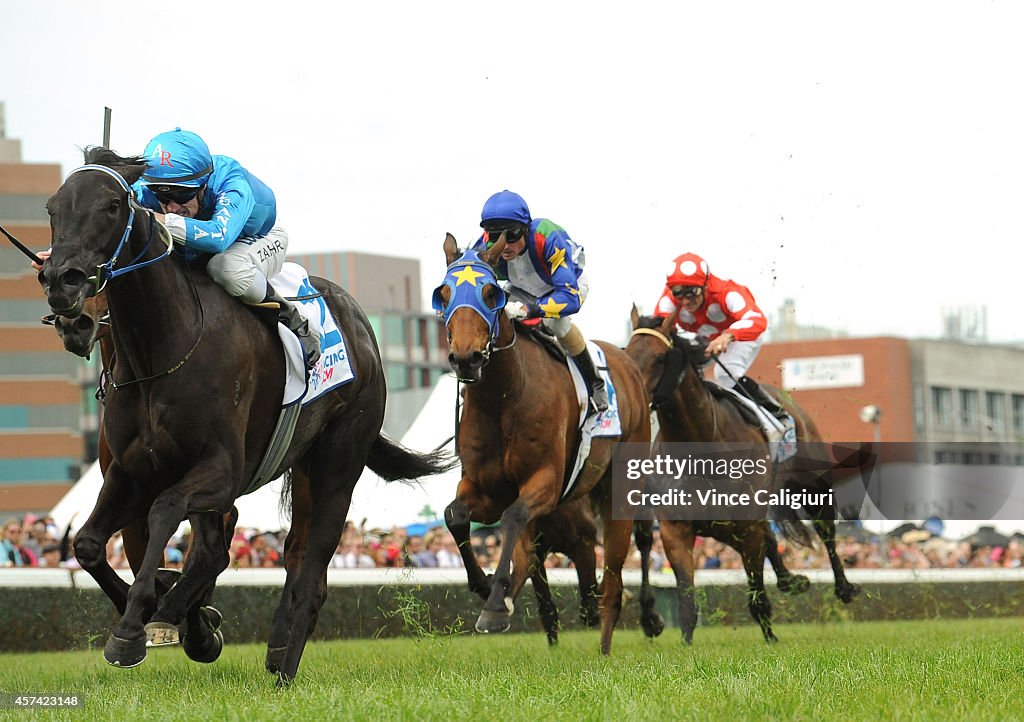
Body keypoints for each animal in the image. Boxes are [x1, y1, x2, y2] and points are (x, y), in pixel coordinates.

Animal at [39, 147, 454, 680]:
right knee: (277, 553)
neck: (160, 353)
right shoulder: (129, 472)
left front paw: (140, 627)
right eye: (53, 207)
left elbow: (166, 513)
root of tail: (361, 324)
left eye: (112, 205)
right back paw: (256, 644)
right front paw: (173, 615)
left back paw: (281, 664)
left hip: (339, 460)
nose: (61, 283)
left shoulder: (221, 471)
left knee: (310, 569)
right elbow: (90, 544)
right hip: (302, 467)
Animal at [436, 233, 651, 651]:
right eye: (443, 293)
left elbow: (515, 517)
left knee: (614, 578)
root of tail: (627, 363)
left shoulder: (547, 482)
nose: (466, 359)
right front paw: (485, 586)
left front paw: (496, 601)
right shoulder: (485, 487)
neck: (504, 396)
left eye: (491, 293)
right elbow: (456, 516)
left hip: (621, 487)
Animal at [626, 309, 860, 643]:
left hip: (810, 484)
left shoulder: (747, 527)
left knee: (825, 529)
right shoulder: (675, 529)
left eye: (660, 358)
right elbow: (686, 602)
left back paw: (843, 587)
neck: (701, 447)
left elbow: (757, 595)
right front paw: (682, 643)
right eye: (626, 352)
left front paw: (771, 639)